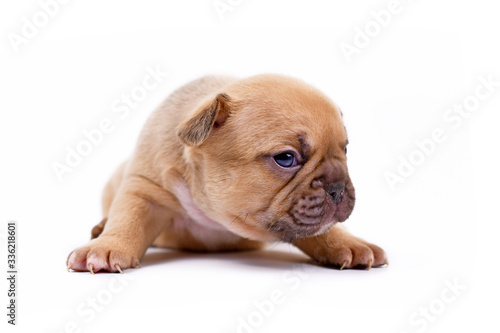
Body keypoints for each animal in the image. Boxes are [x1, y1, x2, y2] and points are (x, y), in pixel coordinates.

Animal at [65, 74, 386, 272]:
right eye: (285, 158)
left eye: (345, 150)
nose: (338, 187)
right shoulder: (144, 190)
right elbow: (127, 219)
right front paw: (107, 246)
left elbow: (325, 231)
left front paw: (351, 244)